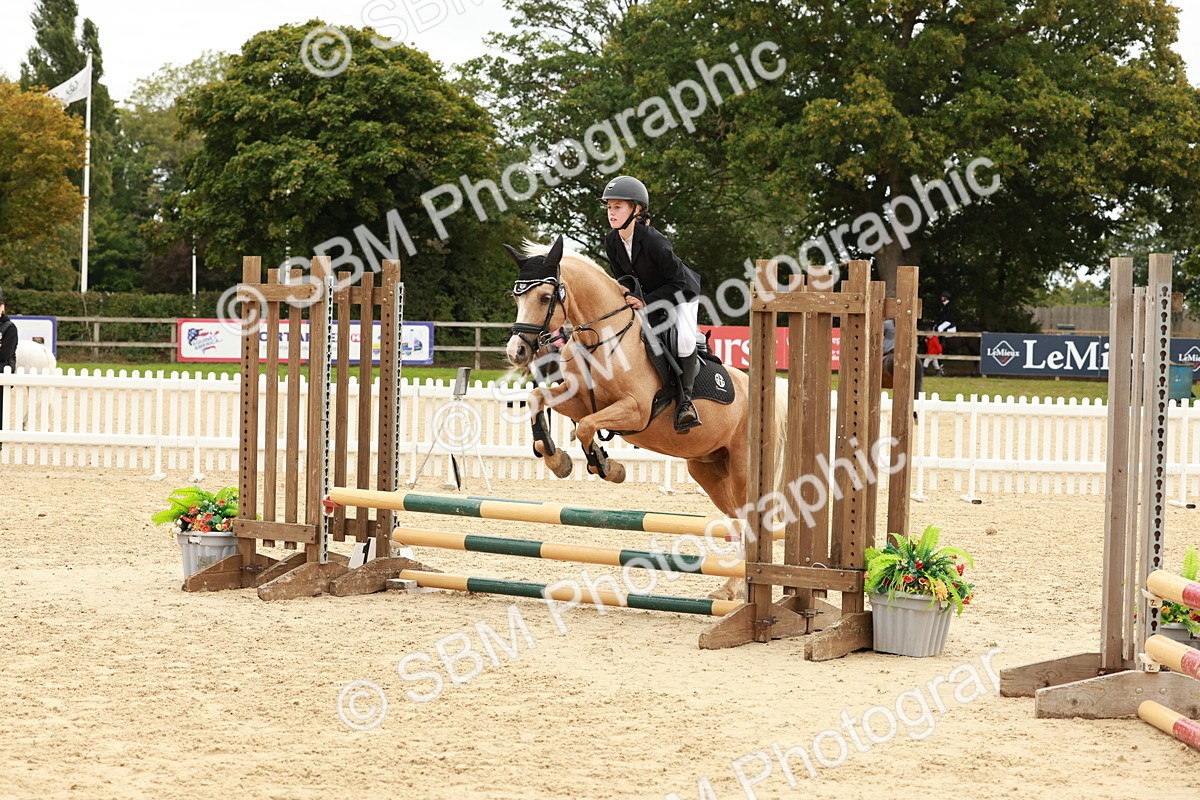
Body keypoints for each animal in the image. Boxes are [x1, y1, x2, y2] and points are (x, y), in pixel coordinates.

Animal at [504, 238, 788, 600]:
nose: (516, 352)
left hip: (741, 469)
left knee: (752, 517)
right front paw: (557, 459)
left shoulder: (635, 409)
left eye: (544, 297)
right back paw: (730, 586)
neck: (601, 338)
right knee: (735, 517)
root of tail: (766, 395)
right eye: (516, 297)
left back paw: (742, 586)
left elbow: (586, 428)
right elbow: (537, 399)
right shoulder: (579, 399)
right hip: (708, 469)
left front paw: (607, 466)